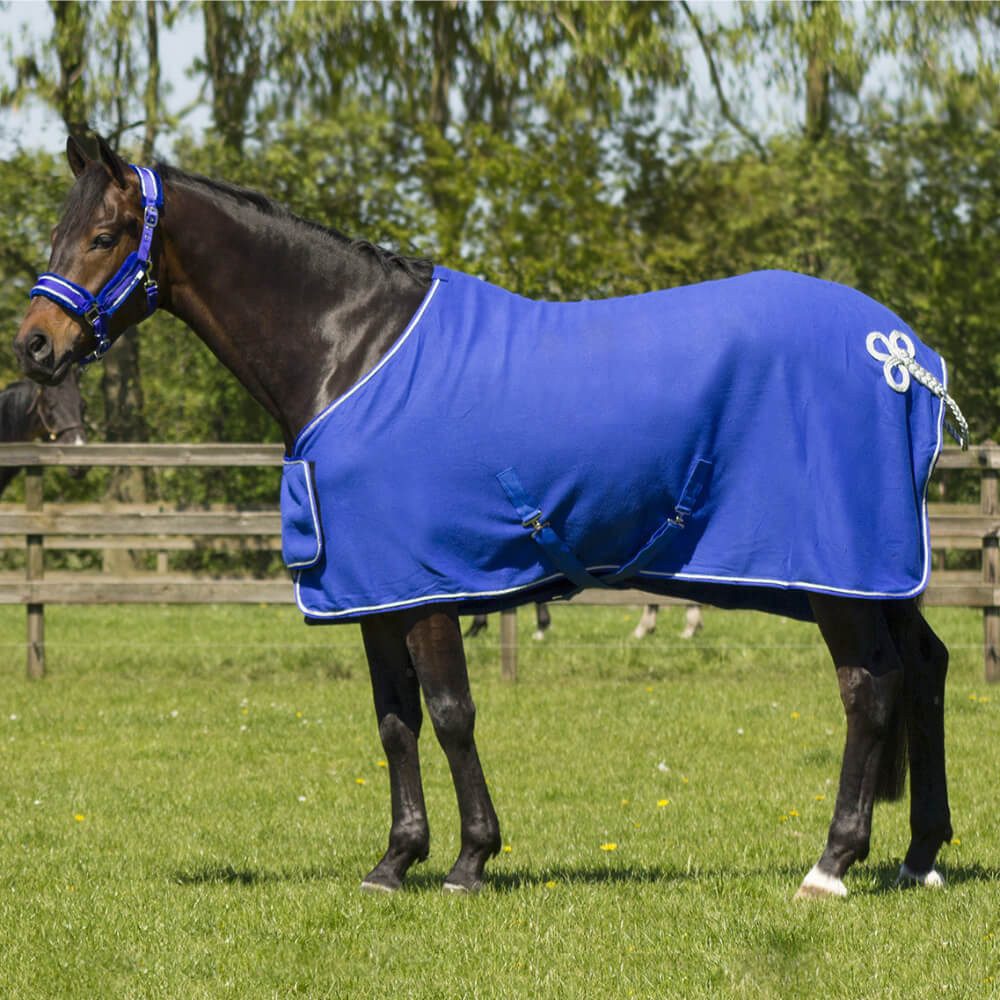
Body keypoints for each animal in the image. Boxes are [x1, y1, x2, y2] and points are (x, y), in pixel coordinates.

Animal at [15, 135, 964, 900]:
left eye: (104, 236)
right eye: (59, 232)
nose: (34, 345)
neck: (351, 351)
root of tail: (905, 355)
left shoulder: (428, 588)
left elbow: (449, 713)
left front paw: (471, 860)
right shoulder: (375, 591)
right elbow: (394, 721)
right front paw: (395, 861)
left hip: (839, 574)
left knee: (869, 688)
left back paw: (831, 865)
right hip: (876, 570)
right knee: (925, 668)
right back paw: (920, 855)